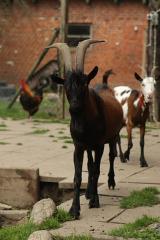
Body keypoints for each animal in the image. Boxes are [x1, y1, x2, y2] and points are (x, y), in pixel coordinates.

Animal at [48, 39, 123, 219]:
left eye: (84, 83)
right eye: (66, 85)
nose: (75, 107)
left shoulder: (99, 144)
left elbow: (96, 170)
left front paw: (95, 201)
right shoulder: (79, 146)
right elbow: (78, 175)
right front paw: (74, 209)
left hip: (113, 136)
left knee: (111, 156)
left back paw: (110, 182)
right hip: (89, 146)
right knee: (89, 164)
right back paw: (88, 192)